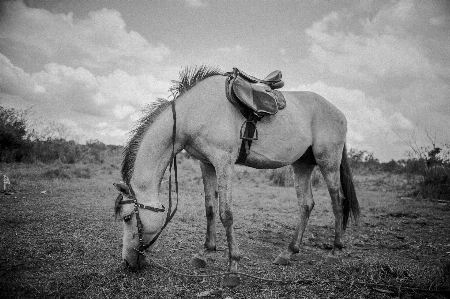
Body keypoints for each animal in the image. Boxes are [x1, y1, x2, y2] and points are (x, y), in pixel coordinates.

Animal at [114, 66, 360, 288]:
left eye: (127, 217)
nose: (127, 262)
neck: (193, 112)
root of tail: (339, 113)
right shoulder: (206, 164)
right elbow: (210, 209)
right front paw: (204, 253)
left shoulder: (224, 163)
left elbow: (226, 214)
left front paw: (232, 269)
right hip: (302, 165)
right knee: (306, 204)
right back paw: (288, 253)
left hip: (328, 161)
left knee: (337, 201)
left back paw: (335, 252)